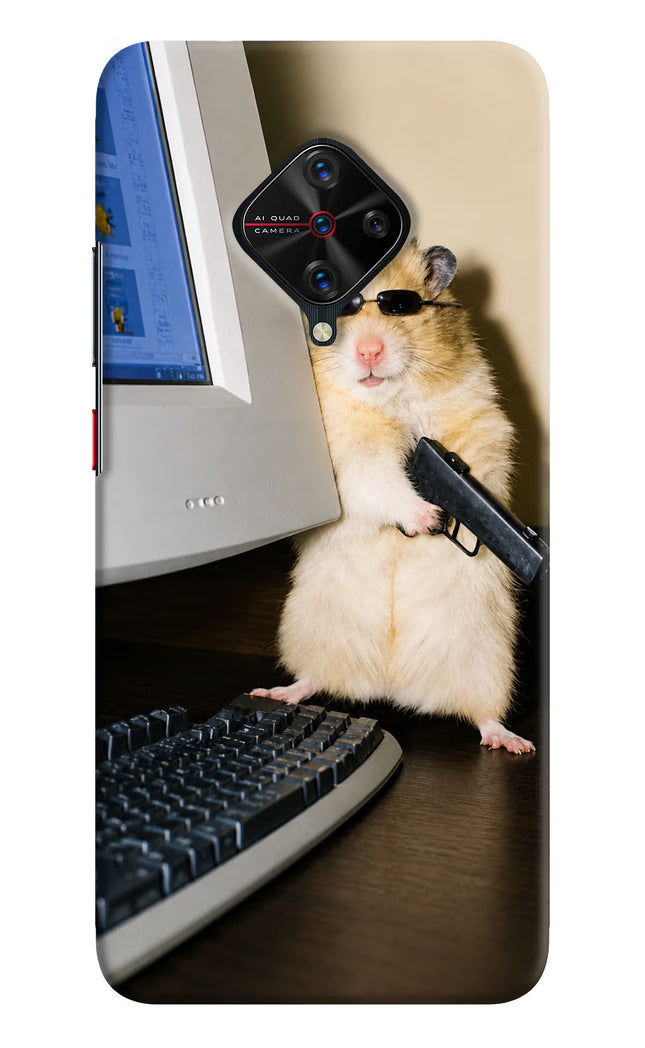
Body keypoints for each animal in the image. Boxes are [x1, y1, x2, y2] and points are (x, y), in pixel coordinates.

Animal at [252, 240, 534, 754]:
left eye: (400, 307)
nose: (369, 351)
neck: (391, 400)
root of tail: (392, 686)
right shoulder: (349, 456)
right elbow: (381, 481)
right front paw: (428, 517)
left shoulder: (481, 423)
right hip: (310, 631)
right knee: (312, 678)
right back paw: (276, 692)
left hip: (487, 660)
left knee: (484, 714)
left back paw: (512, 742)